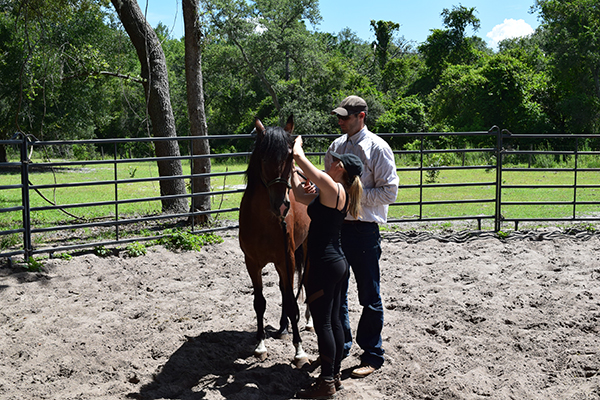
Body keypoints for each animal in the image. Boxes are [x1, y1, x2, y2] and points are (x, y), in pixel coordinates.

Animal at [239, 115, 312, 366]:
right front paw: (260, 346)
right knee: (283, 288)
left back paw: (308, 320)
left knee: (304, 282)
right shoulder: (252, 263)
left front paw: (299, 351)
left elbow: (290, 301)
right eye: (263, 158)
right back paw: (282, 327)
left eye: (291, 156)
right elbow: (260, 302)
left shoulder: (286, 259)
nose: (281, 205)